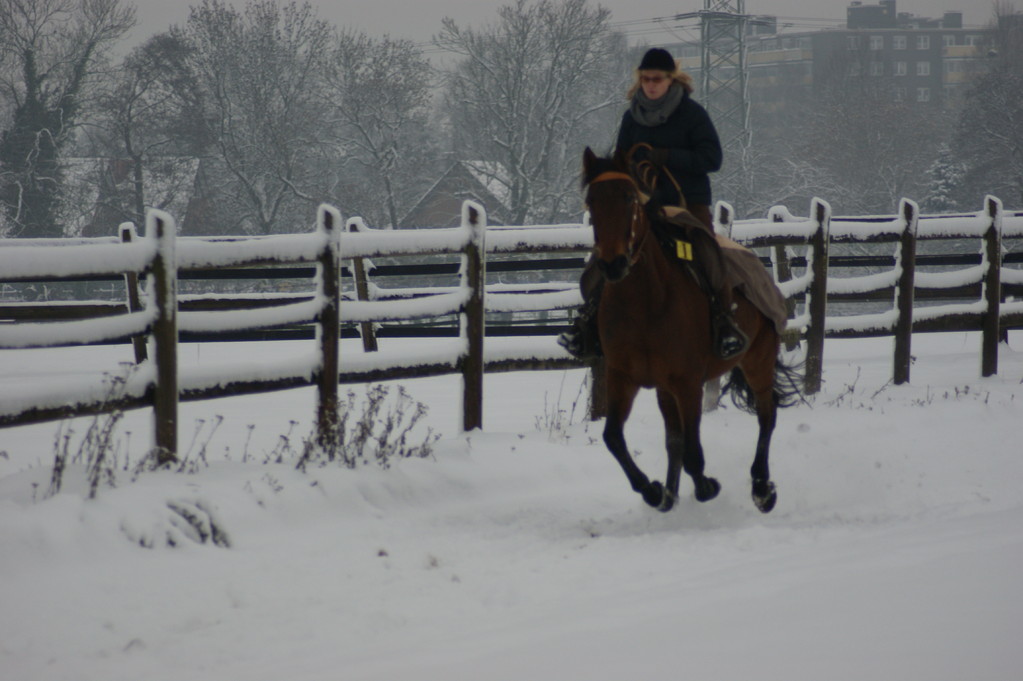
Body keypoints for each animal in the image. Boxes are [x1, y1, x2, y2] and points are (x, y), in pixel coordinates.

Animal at [585, 147, 797, 509]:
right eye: (590, 201)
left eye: (629, 198)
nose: (613, 264)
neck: (646, 303)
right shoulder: (623, 377)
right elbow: (614, 436)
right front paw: (654, 490)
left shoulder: (687, 382)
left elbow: (693, 451)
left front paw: (706, 486)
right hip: (664, 388)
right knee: (673, 438)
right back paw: (670, 494)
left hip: (758, 359)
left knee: (766, 415)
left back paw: (761, 487)